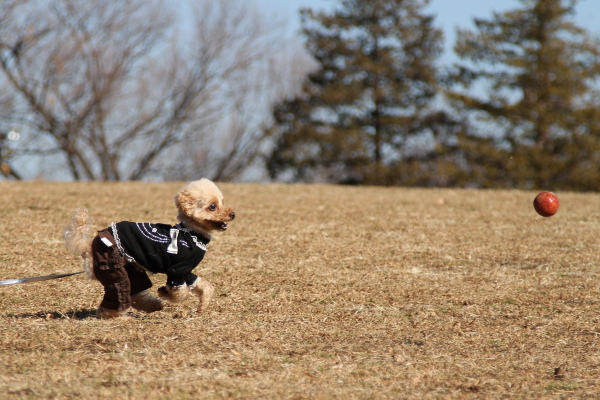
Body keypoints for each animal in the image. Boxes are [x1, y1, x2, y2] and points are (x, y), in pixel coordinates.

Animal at [63, 178, 236, 318]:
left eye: (222, 201)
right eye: (212, 206)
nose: (233, 214)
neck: (193, 233)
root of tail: (89, 245)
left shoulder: (186, 270)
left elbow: (204, 286)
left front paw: (202, 307)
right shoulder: (177, 269)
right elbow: (181, 292)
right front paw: (166, 293)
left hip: (131, 267)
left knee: (135, 291)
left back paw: (152, 305)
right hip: (111, 264)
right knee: (119, 290)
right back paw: (113, 314)